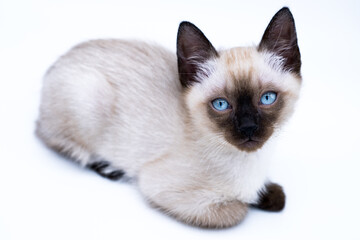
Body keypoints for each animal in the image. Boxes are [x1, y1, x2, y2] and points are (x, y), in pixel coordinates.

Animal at [35, 7, 300, 228]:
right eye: (221, 104)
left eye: (267, 98)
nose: (248, 128)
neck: (251, 164)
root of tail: (56, 63)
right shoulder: (159, 186)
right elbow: (237, 211)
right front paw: (249, 202)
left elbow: (278, 197)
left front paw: (265, 195)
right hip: (89, 96)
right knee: (55, 139)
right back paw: (108, 168)